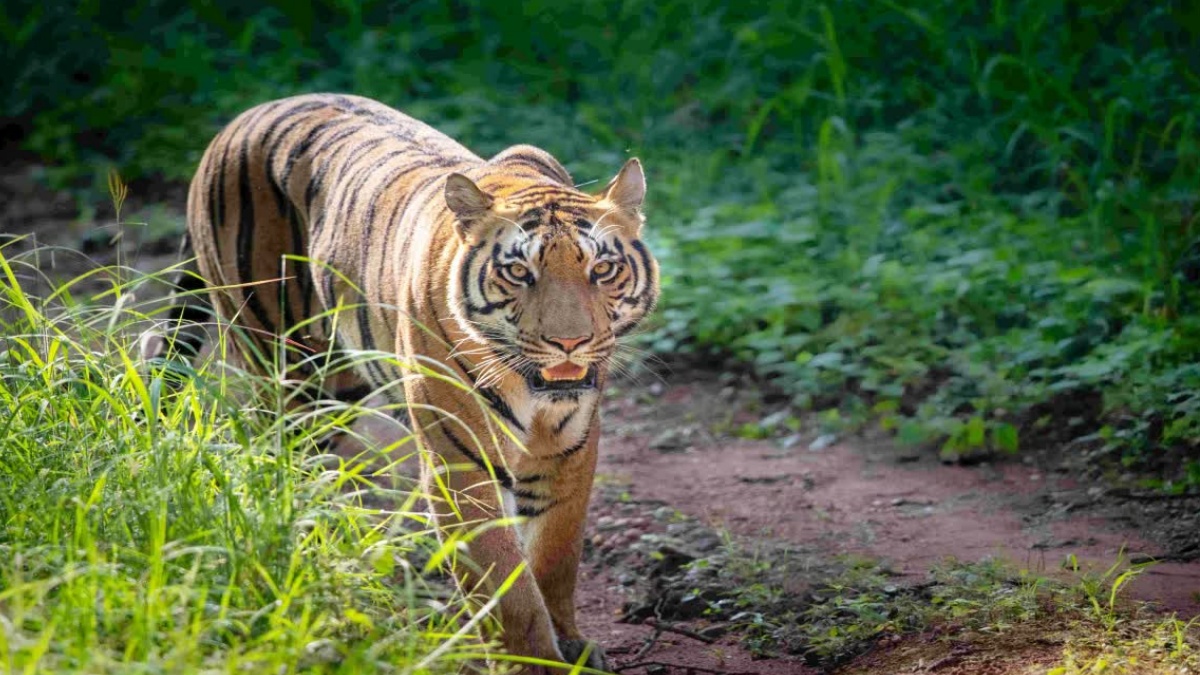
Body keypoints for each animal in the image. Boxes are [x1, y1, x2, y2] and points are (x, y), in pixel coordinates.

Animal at [141, 93, 662, 667]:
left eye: (602, 270)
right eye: (519, 273)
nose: (569, 343)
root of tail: (238, 120)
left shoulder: (569, 447)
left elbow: (555, 558)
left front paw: (569, 646)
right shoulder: (462, 462)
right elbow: (505, 581)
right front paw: (531, 661)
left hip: (334, 388)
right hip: (284, 365)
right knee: (275, 465)